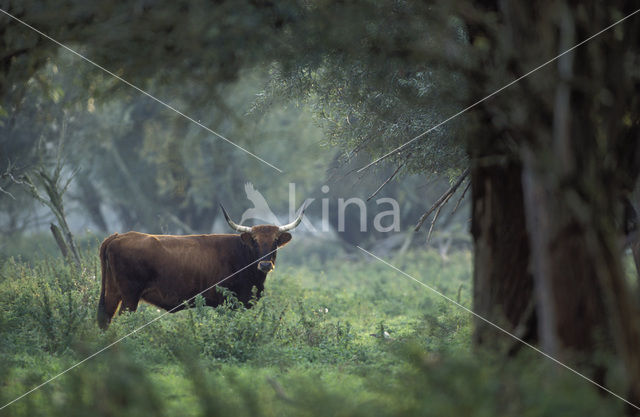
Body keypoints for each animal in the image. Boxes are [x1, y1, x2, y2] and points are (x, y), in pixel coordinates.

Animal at [96, 204, 304, 328]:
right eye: (254, 241)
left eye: (275, 241)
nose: (265, 264)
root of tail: (118, 236)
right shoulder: (230, 302)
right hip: (129, 295)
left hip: (113, 291)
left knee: (106, 318)